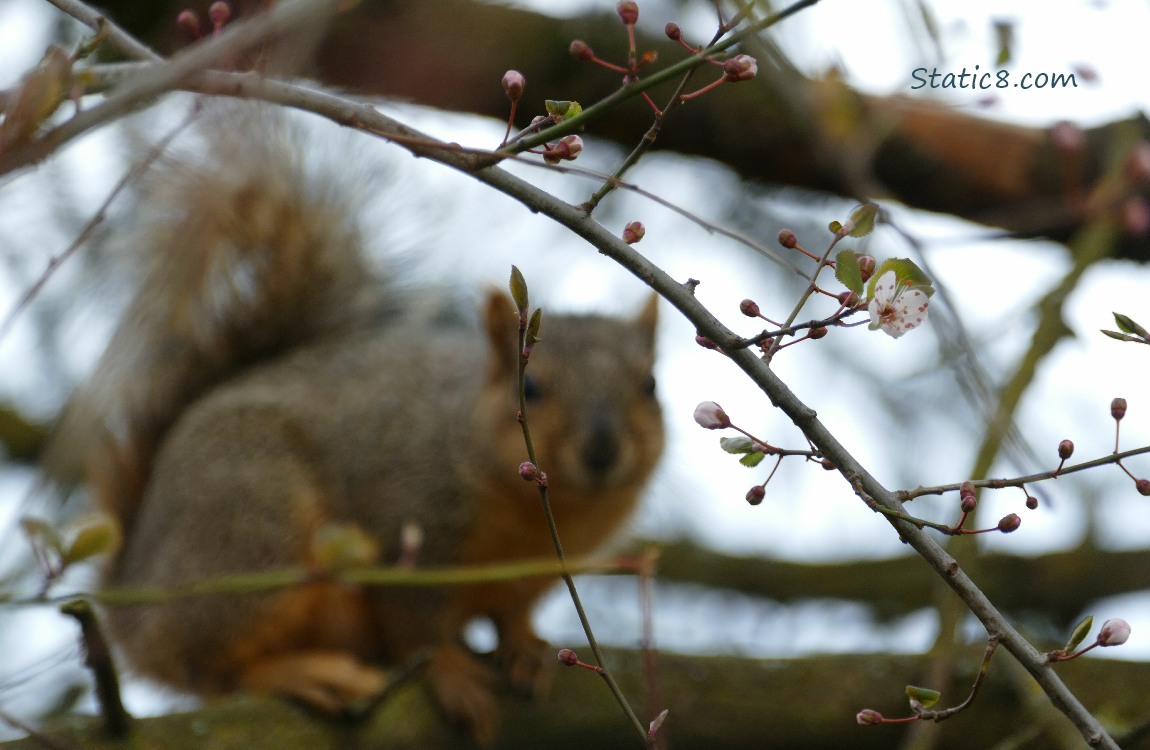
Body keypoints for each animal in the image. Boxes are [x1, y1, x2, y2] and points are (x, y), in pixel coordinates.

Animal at [47, 105, 664, 744]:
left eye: (650, 385)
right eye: (532, 388)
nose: (602, 450)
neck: (537, 511)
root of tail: (133, 597)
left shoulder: (537, 572)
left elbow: (512, 613)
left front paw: (522, 647)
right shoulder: (406, 524)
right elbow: (415, 624)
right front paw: (452, 674)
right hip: (252, 531)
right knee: (210, 664)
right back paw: (304, 674)